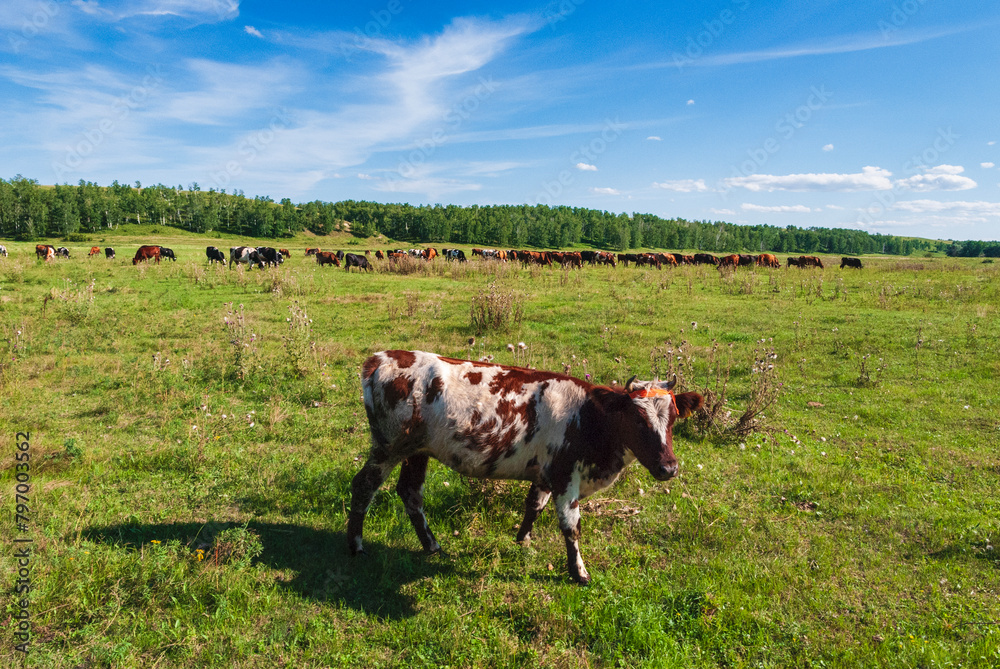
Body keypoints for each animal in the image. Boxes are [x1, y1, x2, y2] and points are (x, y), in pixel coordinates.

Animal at [349, 351, 704, 585]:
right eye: (637, 420)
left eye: (673, 418)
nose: (669, 468)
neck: (588, 416)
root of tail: (383, 358)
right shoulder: (566, 477)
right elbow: (571, 527)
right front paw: (579, 572)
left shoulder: (546, 473)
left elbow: (533, 504)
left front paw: (524, 540)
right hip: (388, 447)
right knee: (364, 485)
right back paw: (356, 546)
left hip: (417, 451)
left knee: (410, 493)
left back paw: (432, 545)